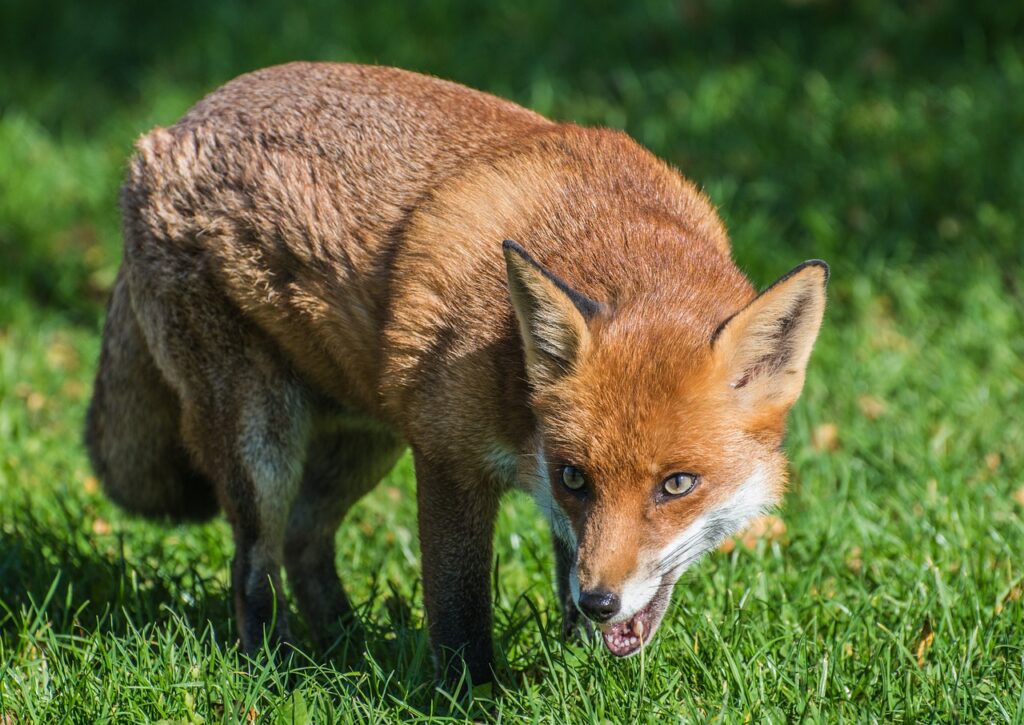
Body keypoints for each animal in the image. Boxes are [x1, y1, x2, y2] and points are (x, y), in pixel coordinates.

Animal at [85, 62, 828, 686]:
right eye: (576, 477)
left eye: (677, 484)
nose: (600, 600)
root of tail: (169, 128)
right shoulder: (447, 458)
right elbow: (458, 604)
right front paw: (471, 694)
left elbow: (562, 566)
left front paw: (580, 667)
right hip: (262, 441)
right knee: (253, 566)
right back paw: (278, 669)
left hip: (364, 441)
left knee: (304, 541)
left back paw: (346, 644)